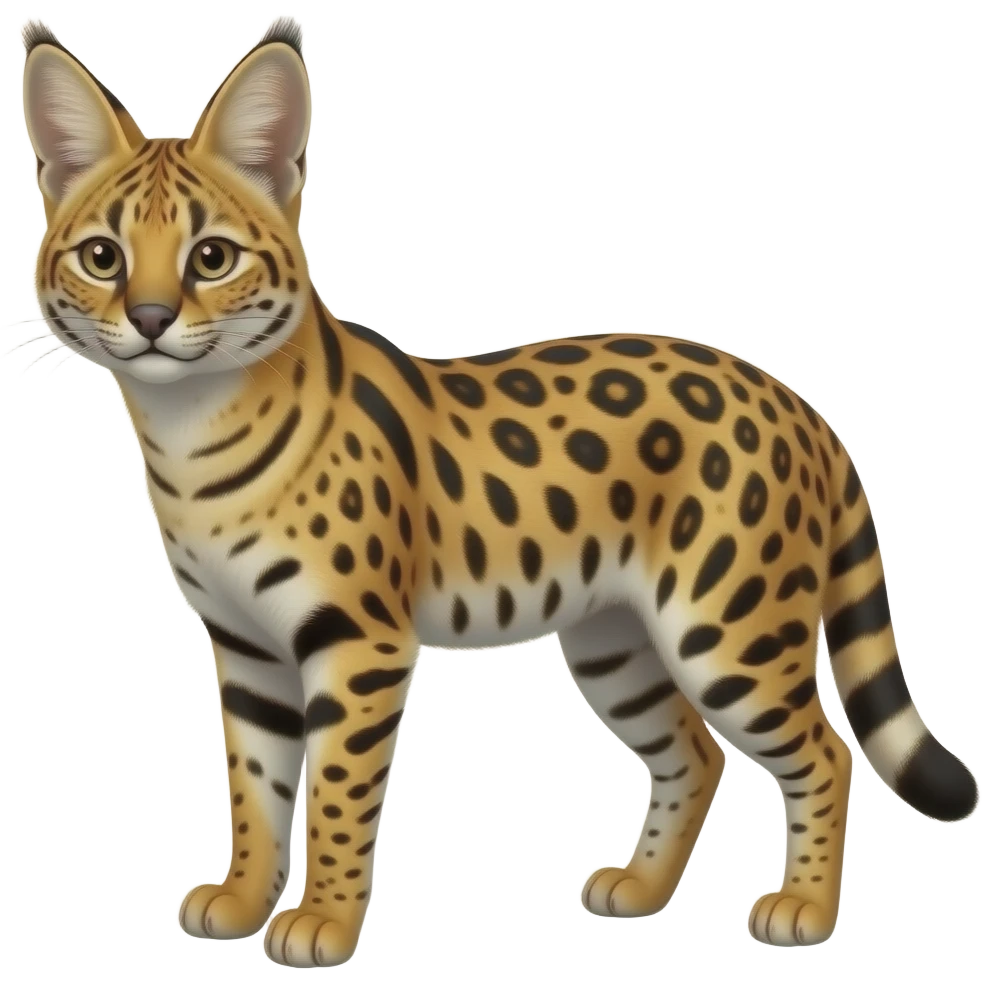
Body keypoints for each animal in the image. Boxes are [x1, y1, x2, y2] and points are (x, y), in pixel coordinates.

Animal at [15, 14, 978, 968]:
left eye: (211, 257)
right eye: (102, 257)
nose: (149, 319)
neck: (190, 432)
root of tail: (796, 401)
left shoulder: (358, 642)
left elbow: (336, 793)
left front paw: (323, 921)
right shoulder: (247, 647)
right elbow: (253, 790)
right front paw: (245, 897)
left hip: (729, 628)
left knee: (826, 753)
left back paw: (805, 908)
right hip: (615, 640)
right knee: (695, 755)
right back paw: (643, 890)